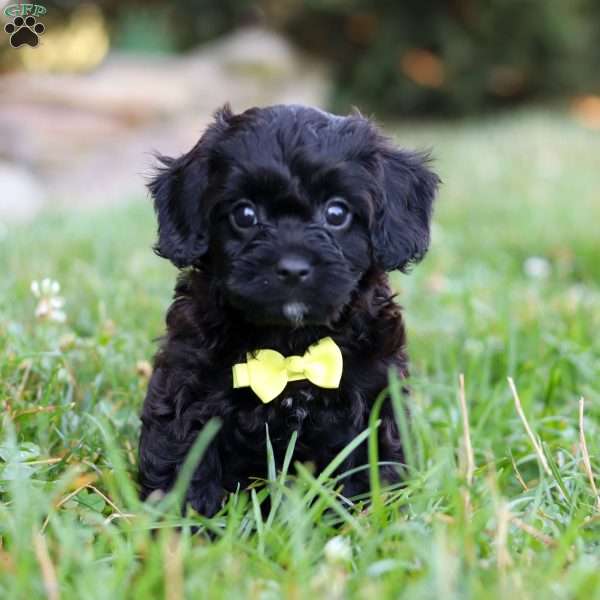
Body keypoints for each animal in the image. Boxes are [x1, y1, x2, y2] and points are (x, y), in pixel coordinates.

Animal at [141, 104, 440, 516]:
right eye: (245, 215)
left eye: (336, 213)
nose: (293, 268)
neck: (291, 345)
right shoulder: (187, 388)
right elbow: (183, 459)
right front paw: (185, 525)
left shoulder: (376, 397)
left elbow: (367, 466)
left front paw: (358, 519)